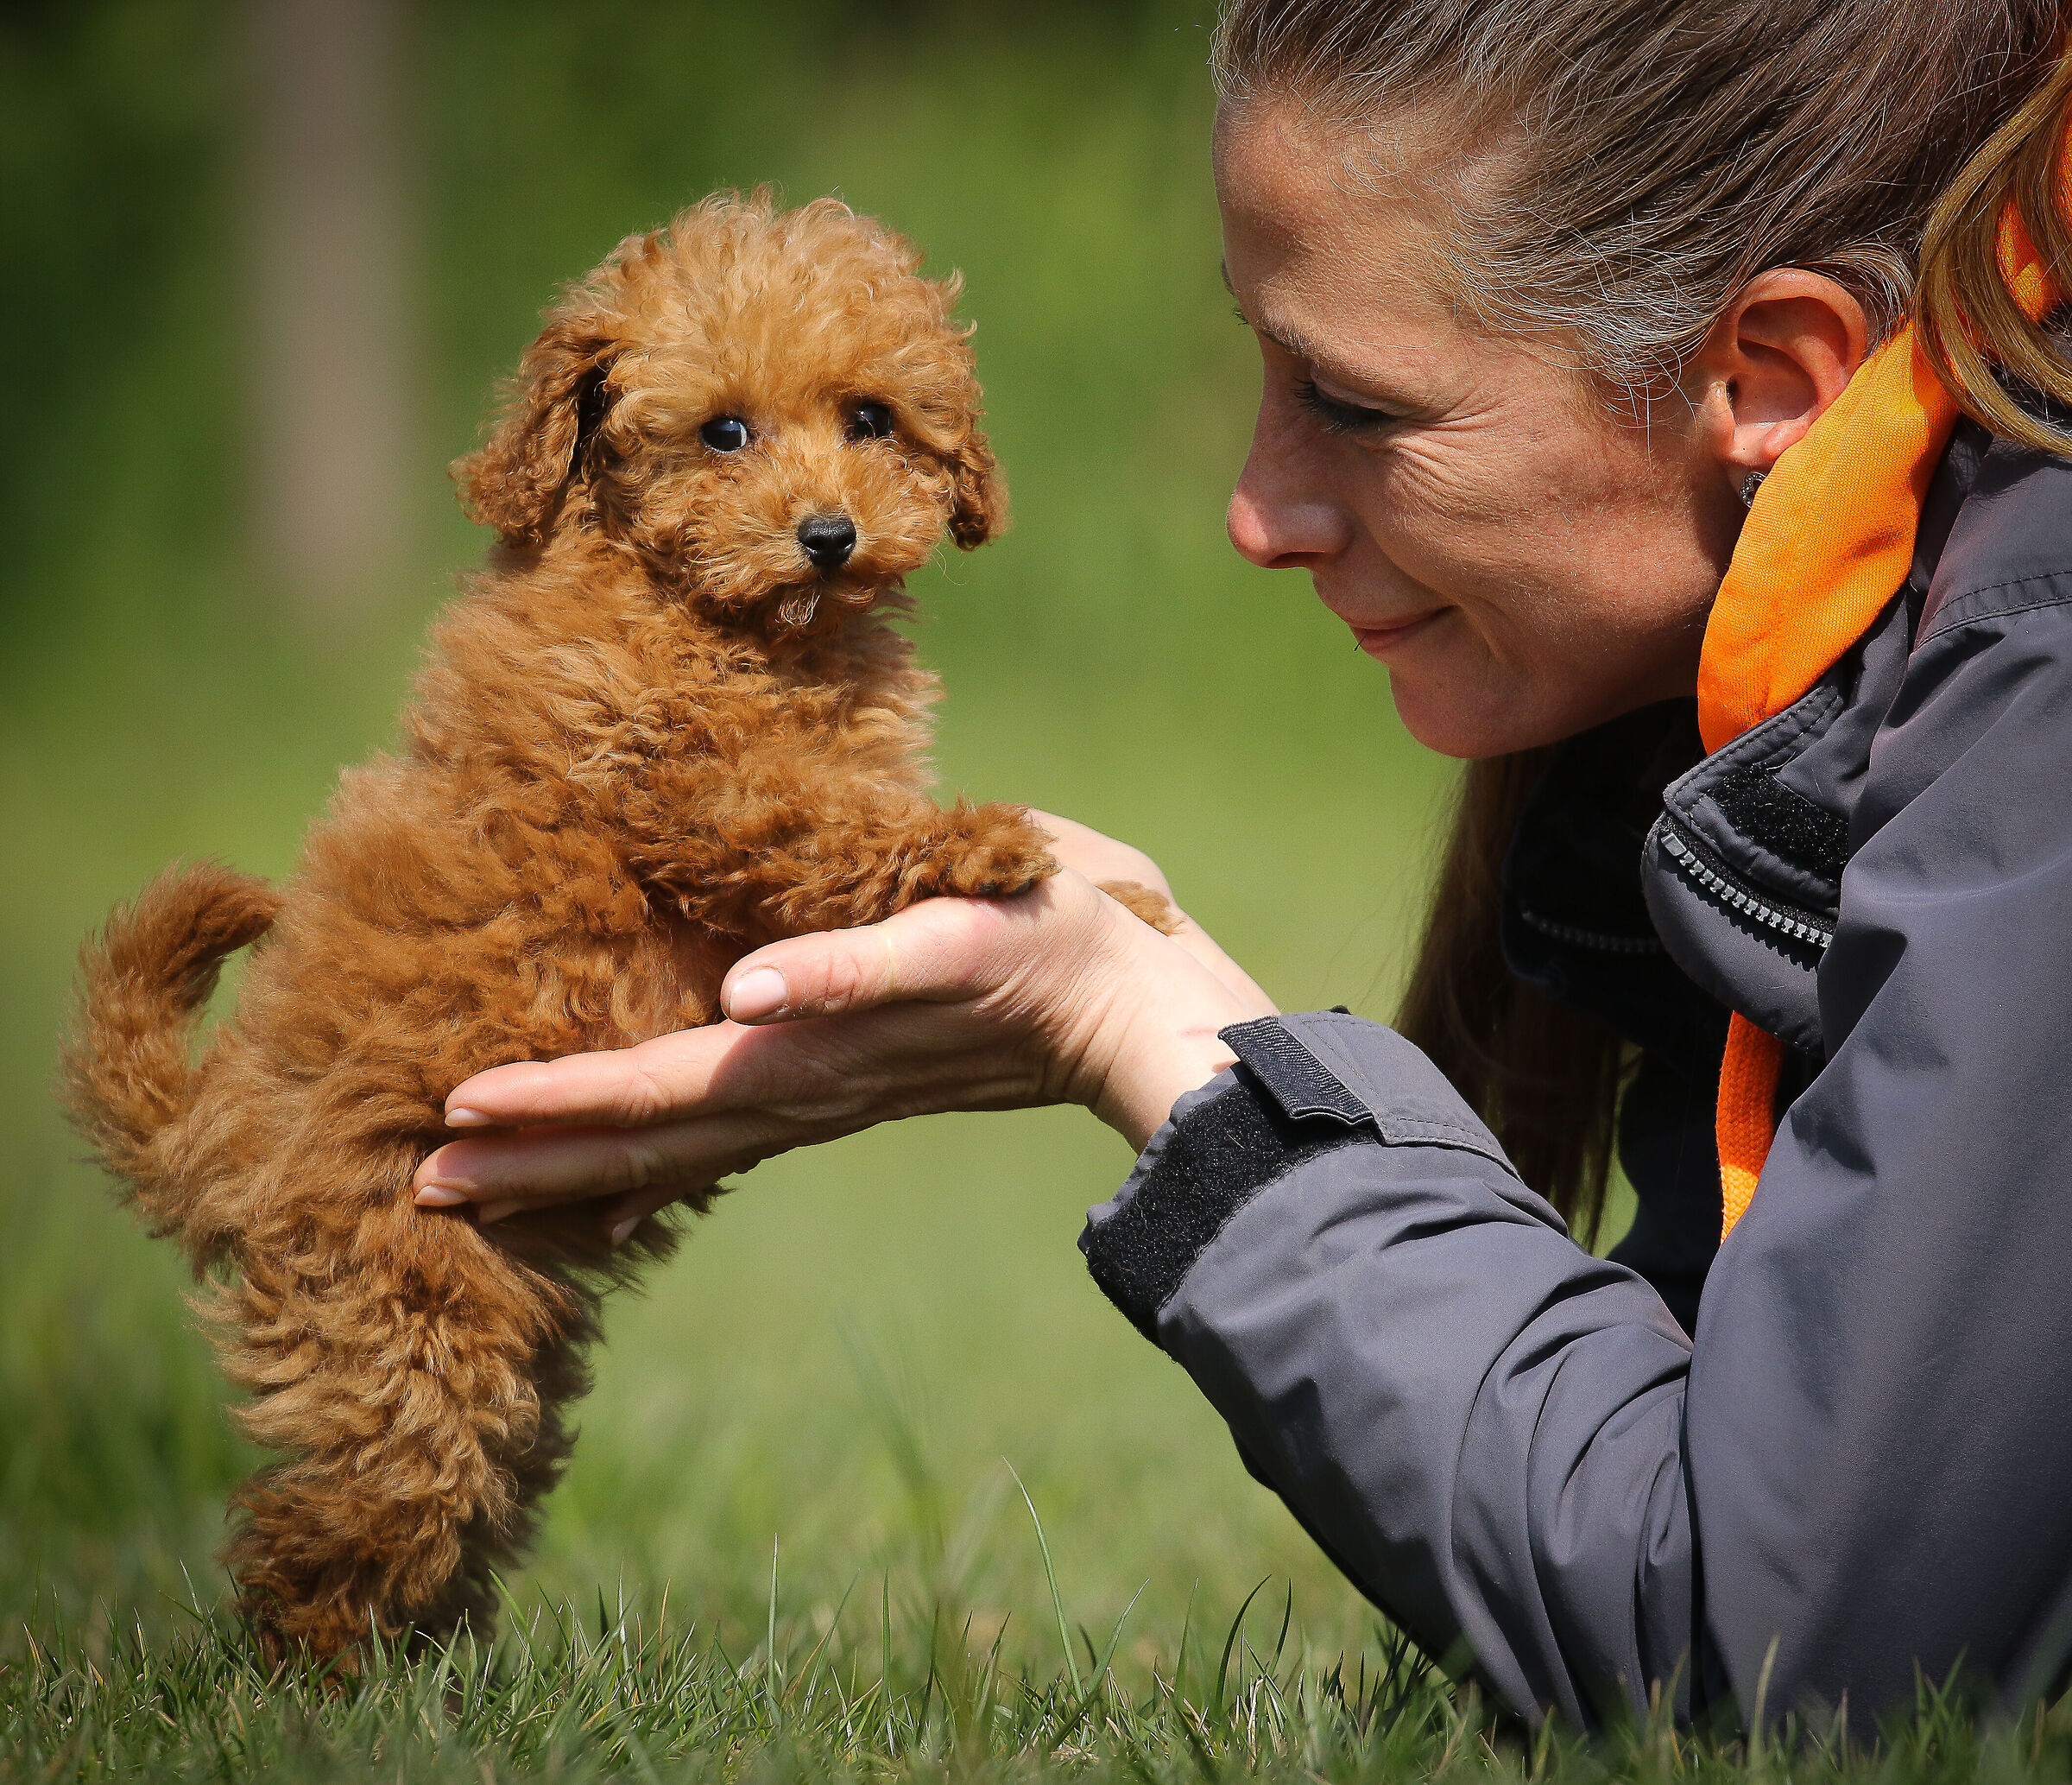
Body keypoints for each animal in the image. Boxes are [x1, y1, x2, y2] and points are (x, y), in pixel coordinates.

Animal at [60, 194, 1119, 1674]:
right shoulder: (679, 768)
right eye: (724, 432)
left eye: (871, 418)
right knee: (347, 1510)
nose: (830, 533)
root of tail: (208, 1125)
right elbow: (817, 819)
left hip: (499, 1320)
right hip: (393, 1300)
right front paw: (980, 844)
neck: (719, 612)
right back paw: (318, 1677)